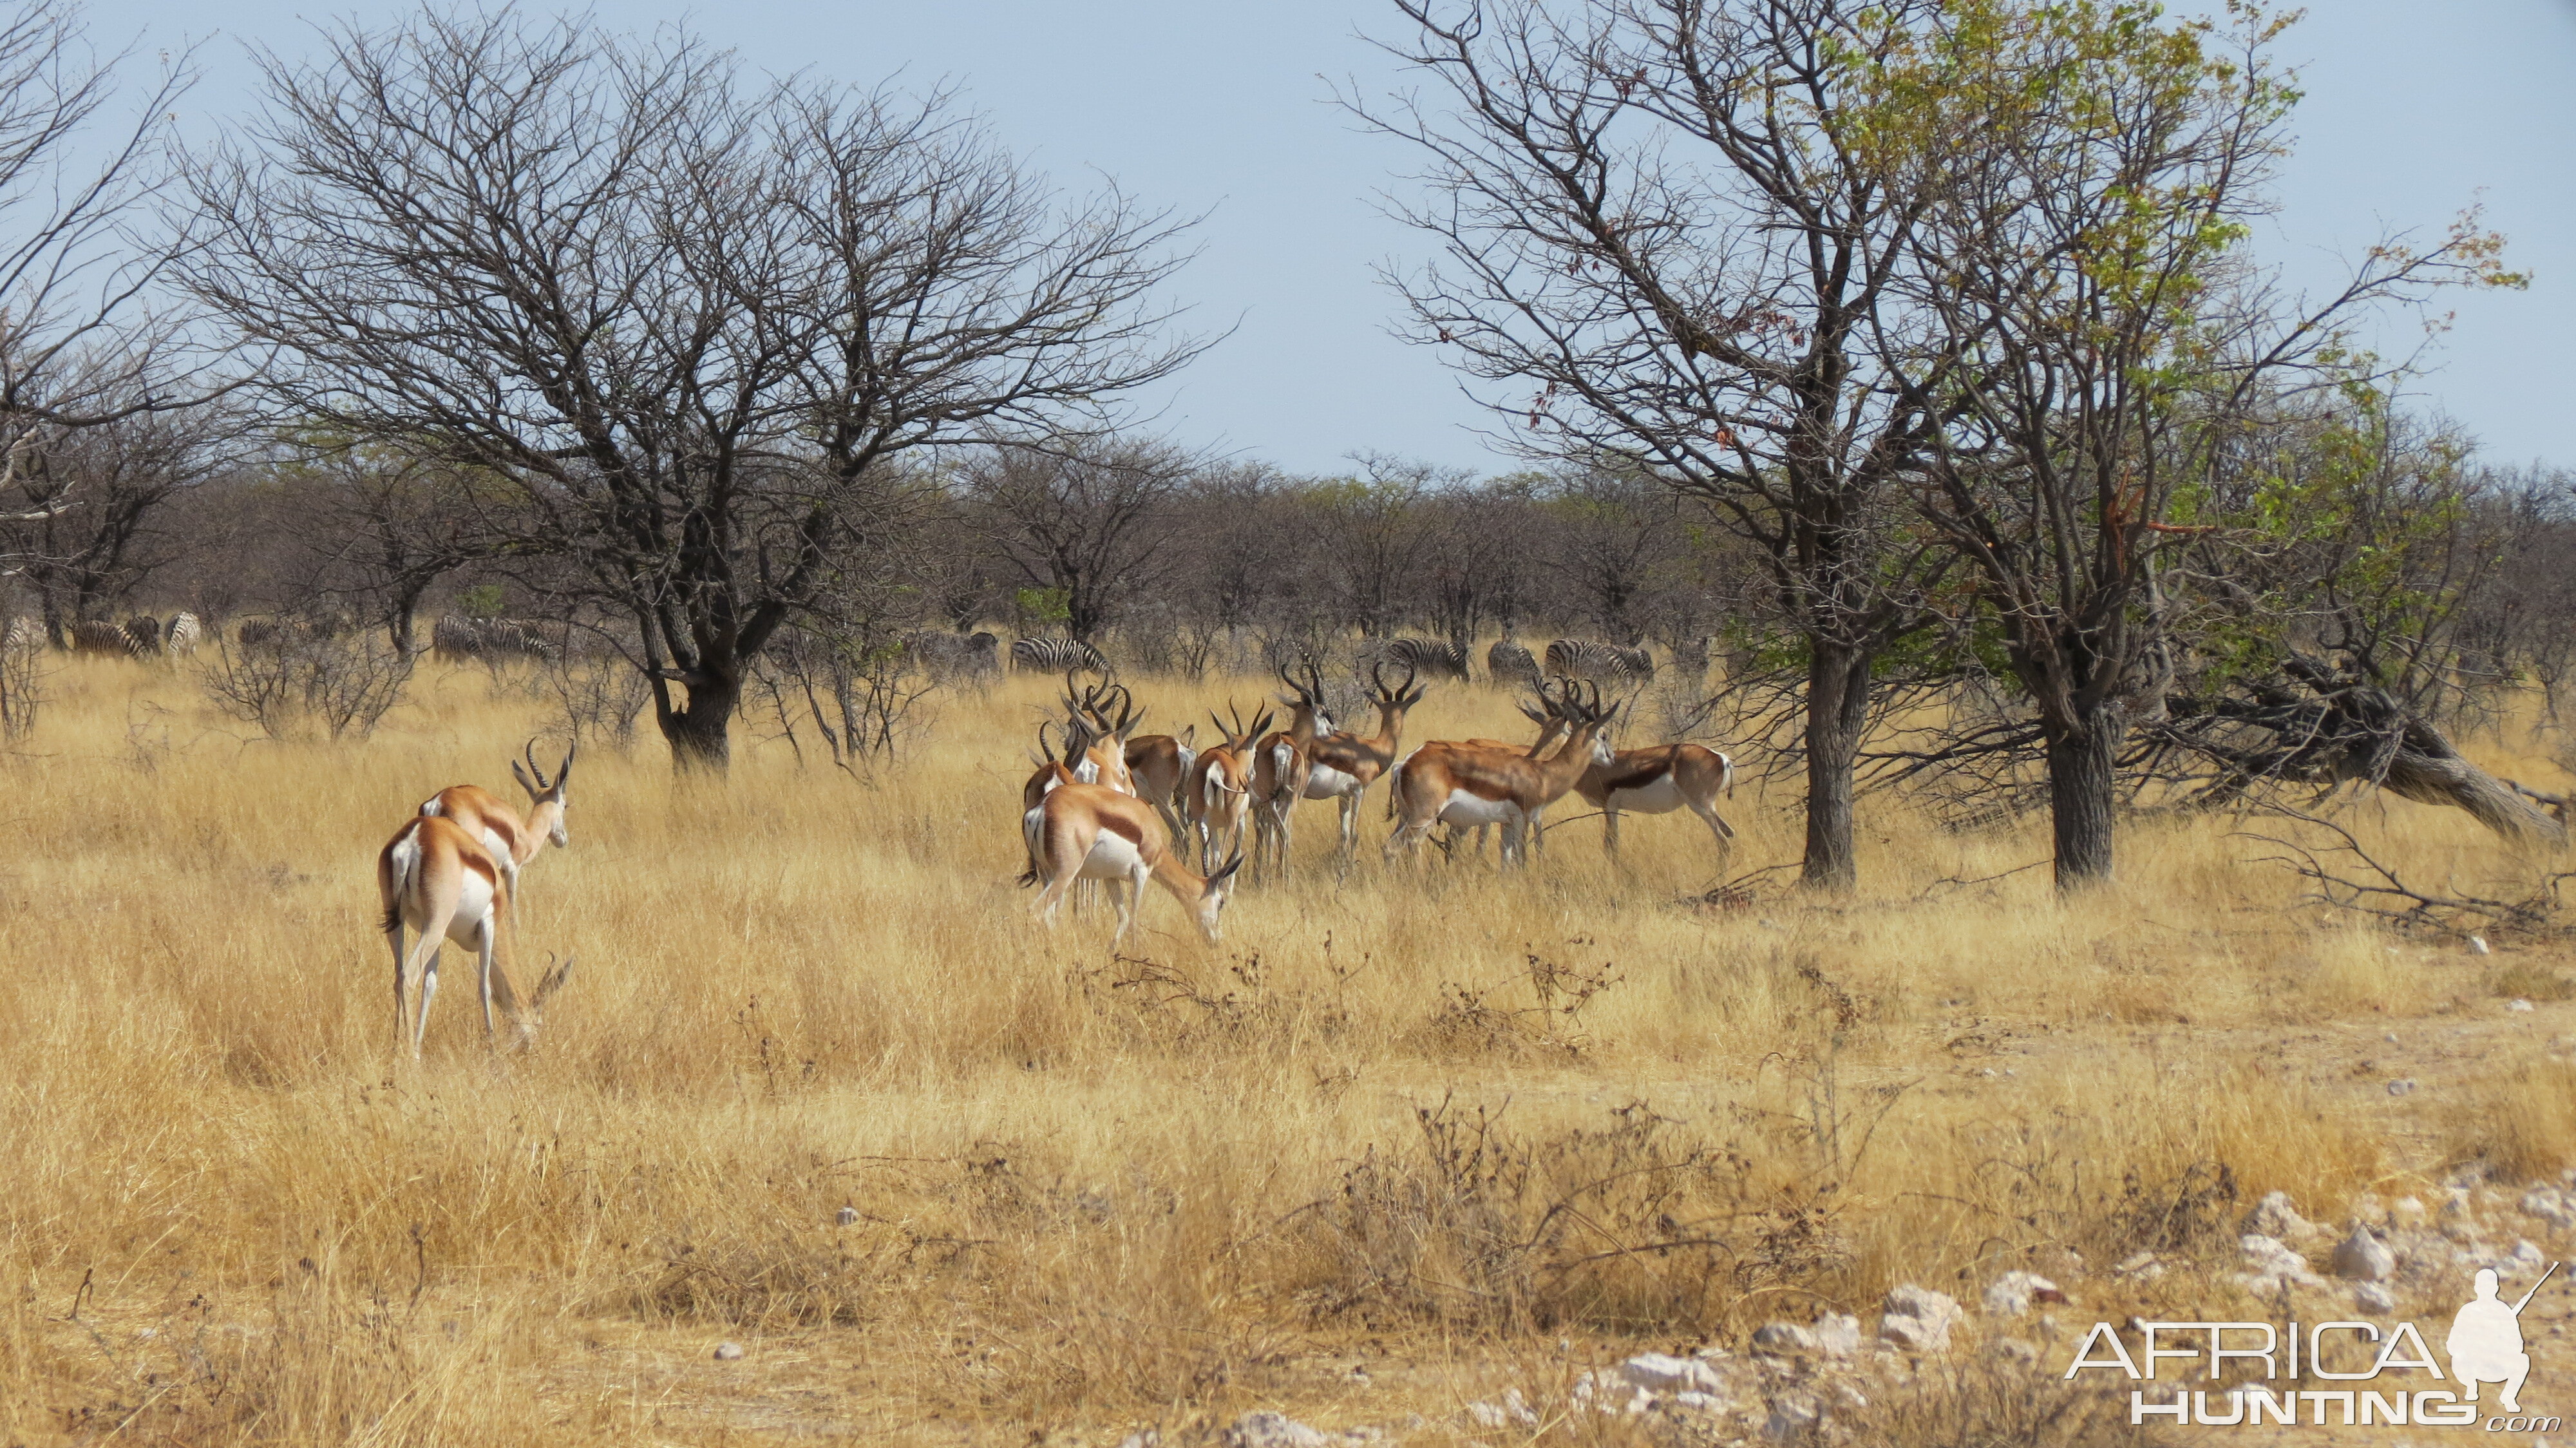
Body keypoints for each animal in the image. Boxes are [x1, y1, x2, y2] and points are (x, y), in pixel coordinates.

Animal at [1546, 639, 1649, 685]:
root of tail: (1553, 642)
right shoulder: (1597, 675)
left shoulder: (1606, 677)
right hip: (1552, 666)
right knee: (1549, 678)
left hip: (1563, 670)